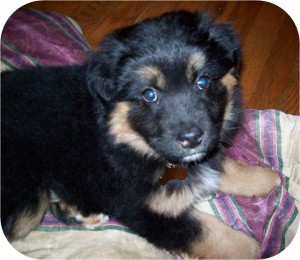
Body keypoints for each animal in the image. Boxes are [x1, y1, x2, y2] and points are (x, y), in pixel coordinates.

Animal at [1, 10, 280, 258]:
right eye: (149, 94)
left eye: (202, 81)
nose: (191, 138)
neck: (129, 140)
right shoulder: (144, 211)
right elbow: (215, 235)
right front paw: (255, 249)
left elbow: (223, 166)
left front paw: (264, 178)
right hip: (28, 196)